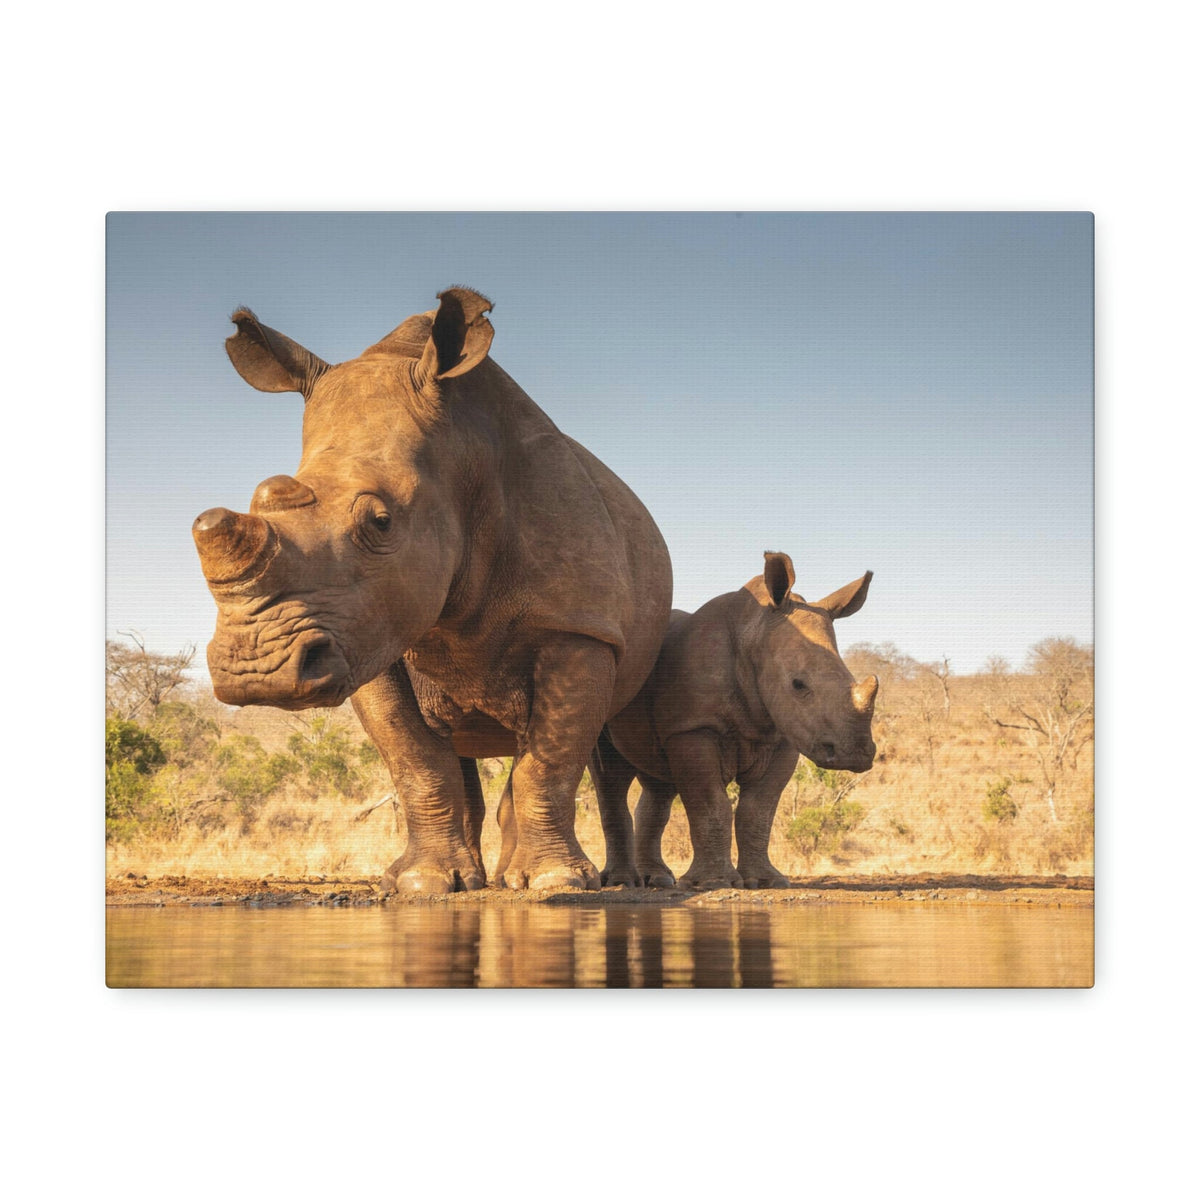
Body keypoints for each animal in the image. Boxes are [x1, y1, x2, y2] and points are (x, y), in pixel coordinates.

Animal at [192, 287, 672, 892]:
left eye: (380, 522)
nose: (256, 671)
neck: (462, 454)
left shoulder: (579, 627)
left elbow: (551, 761)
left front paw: (554, 884)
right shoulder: (364, 634)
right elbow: (415, 760)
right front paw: (422, 883)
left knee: (597, 759)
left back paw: (583, 882)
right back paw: (481, 879)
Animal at [590, 551, 878, 889]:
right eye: (798, 684)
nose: (856, 754)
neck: (753, 632)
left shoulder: (782, 736)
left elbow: (758, 811)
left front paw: (766, 881)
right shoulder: (693, 728)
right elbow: (710, 804)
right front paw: (712, 883)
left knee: (657, 782)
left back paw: (658, 880)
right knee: (610, 776)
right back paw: (622, 882)